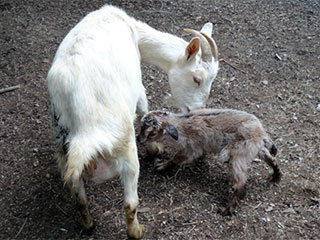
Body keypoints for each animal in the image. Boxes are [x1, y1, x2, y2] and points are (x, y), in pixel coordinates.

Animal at [46, 3, 219, 238]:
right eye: (196, 79)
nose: (198, 110)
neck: (132, 29)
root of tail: (85, 130)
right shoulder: (138, 86)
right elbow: (144, 109)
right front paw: (155, 148)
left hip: (64, 150)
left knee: (80, 199)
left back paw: (89, 225)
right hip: (125, 146)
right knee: (130, 202)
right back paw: (137, 230)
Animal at [139, 109, 282, 216]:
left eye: (152, 133)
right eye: (141, 127)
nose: (139, 139)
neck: (183, 123)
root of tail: (261, 133)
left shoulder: (192, 147)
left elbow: (177, 158)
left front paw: (162, 165)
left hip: (235, 154)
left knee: (241, 184)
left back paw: (227, 209)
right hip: (253, 148)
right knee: (269, 157)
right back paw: (276, 175)